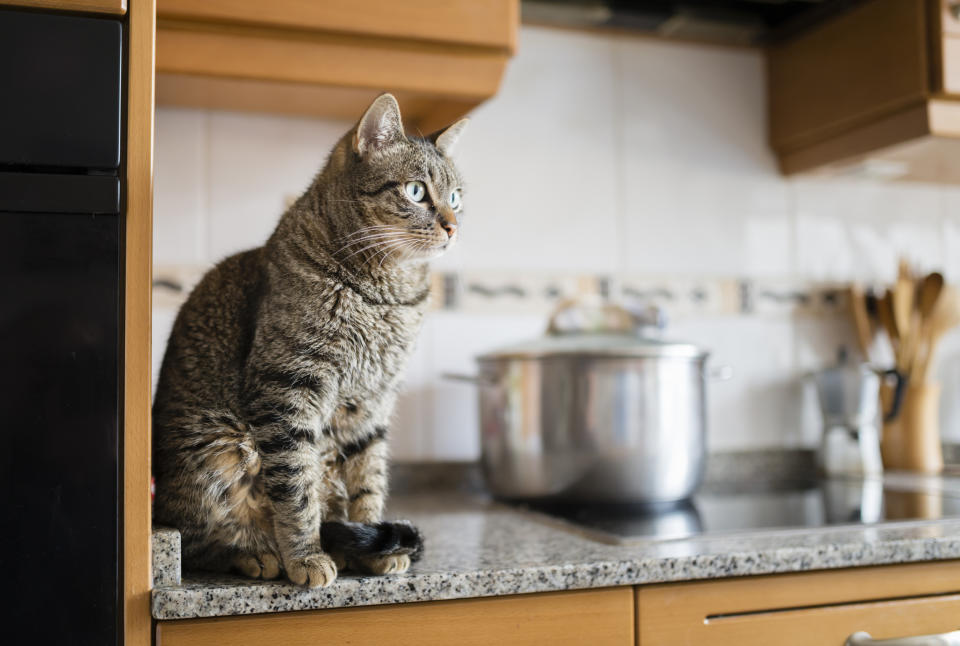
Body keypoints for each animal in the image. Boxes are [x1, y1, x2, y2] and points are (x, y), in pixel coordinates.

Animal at [152, 93, 466, 588]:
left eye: (455, 197)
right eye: (416, 191)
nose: (453, 226)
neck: (388, 297)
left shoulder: (372, 403)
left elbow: (368, 479)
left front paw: (371, 545)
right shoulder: (288, 388)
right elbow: (296, 486)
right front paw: (305, 556)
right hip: (215, 450)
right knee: (196, 539)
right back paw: (254, 553)